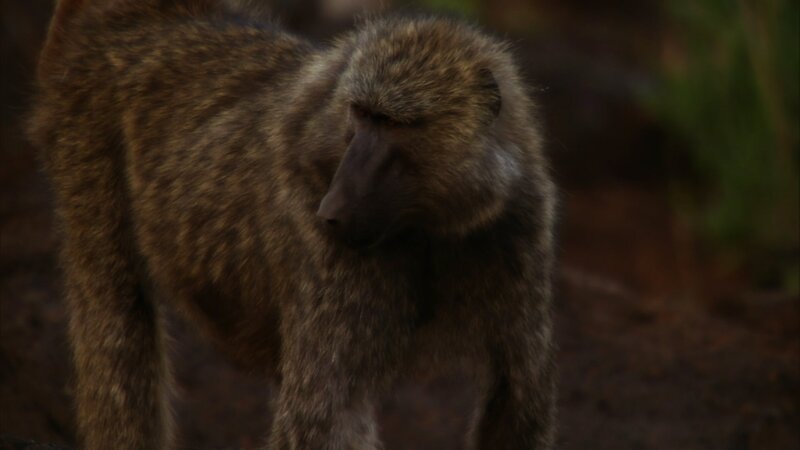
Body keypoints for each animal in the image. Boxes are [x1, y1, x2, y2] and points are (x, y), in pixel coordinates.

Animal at [27, 0, 558, 449]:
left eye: (392, 123)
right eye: (360, 115)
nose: (333, 211)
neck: (432, 227)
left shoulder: (522, 225)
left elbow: (516, 401)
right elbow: (322, 418)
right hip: (81, 131)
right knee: (115, 326)